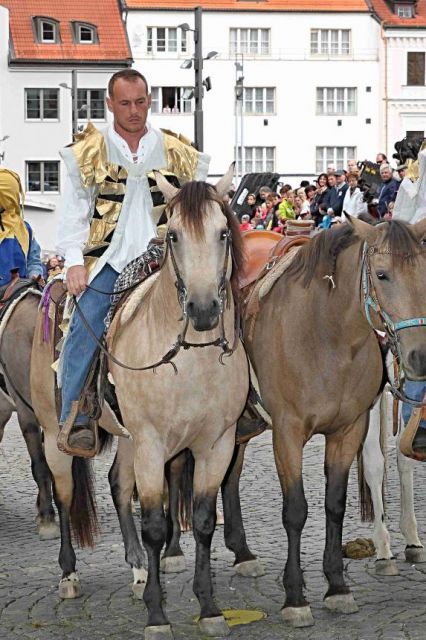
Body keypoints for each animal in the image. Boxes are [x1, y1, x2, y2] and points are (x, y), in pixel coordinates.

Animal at [30, 166, 250, 640]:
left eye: (223, 232)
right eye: (175, 236)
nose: (203, 309)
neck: (190, 358)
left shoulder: (216, 445)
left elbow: (202, 521)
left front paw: (208, 607)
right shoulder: (153, 444)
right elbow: (154, 525)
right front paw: (157, 614)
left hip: (128, 438)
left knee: (117, 483)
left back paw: (135, 571)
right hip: (55, 432)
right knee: (64, 493)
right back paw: (69, 575)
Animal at [243, 218, 426, 628]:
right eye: (381, 274)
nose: (420, 356)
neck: (326, 335)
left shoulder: (349, 427)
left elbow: (336, 503)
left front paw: (337, 587)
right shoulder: (287, 433)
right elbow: (296, 510)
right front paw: (295, 597)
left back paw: (241, 554)